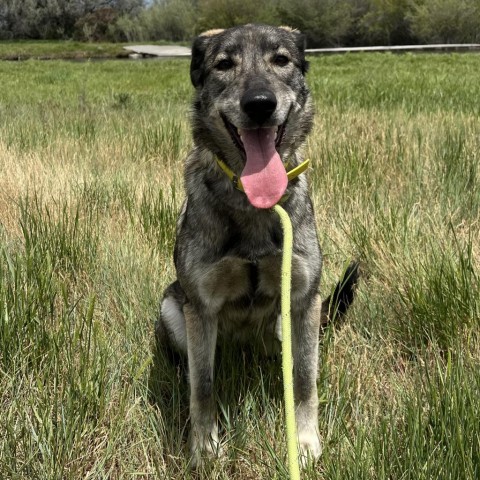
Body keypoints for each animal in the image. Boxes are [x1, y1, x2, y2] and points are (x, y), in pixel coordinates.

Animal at [158, 24, 360, 466]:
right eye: (223, 64)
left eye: (281, 60)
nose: (260, 105)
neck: (252, 203)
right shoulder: (200, 308)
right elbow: (203, 386)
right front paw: (204, 446)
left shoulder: (303, 301)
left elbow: (304, 380)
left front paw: (304, 442)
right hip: (171, 308)